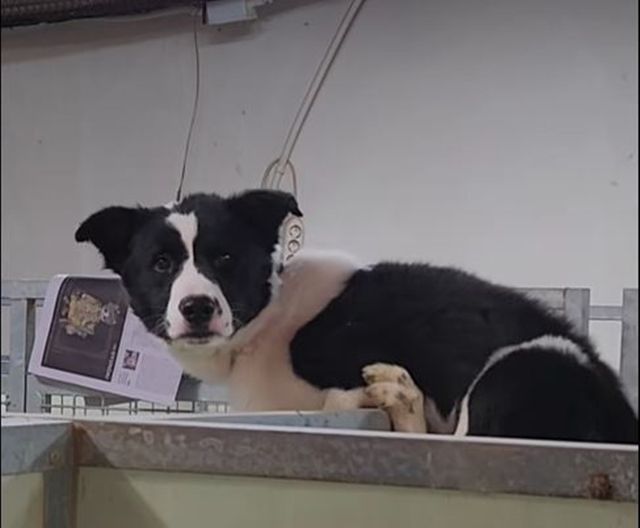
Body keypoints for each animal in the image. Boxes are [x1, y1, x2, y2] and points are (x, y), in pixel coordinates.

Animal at [75, 189, 638, 443]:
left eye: (225, 257)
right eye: (161, 263)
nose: (197, 308)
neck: (268, 324)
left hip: (527, 361)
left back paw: (400, 396)